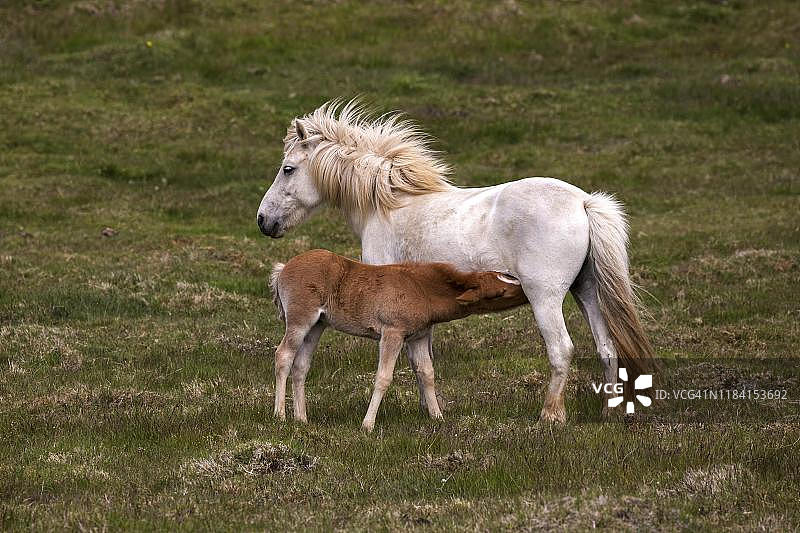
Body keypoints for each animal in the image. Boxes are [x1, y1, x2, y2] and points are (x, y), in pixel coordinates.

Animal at [270, 249, 528, 431]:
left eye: (506, 276)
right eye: (499, 292)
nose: (526, 289)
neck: (422, 289)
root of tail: (282, 270)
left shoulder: (419, 337)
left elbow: (427, 373)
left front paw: (438, 417)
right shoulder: (392, 333)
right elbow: (383, 377)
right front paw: (368, 424)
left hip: (317, 326)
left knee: (301, 365)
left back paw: (302, 418)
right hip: (300, 320)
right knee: (283, 355)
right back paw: (280, 415)